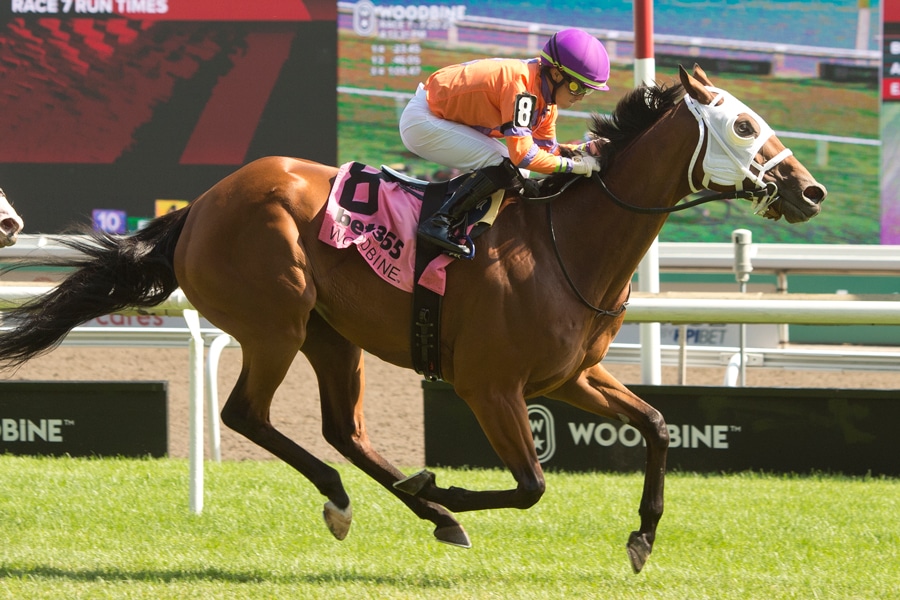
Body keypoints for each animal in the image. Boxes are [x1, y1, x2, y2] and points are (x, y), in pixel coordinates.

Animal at [0, 65, 826, 573]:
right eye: (744, 126)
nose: (810, 191)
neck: (569, 242)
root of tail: (200, 205)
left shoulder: (571, 377)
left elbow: (655, 426)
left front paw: (643, 536)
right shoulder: (489, 386)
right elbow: (532, 484)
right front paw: (451, 491)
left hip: (333, 336)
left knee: (344, 429)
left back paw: (419, 507)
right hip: (277, 324)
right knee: (247, 415)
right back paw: (370, 500)